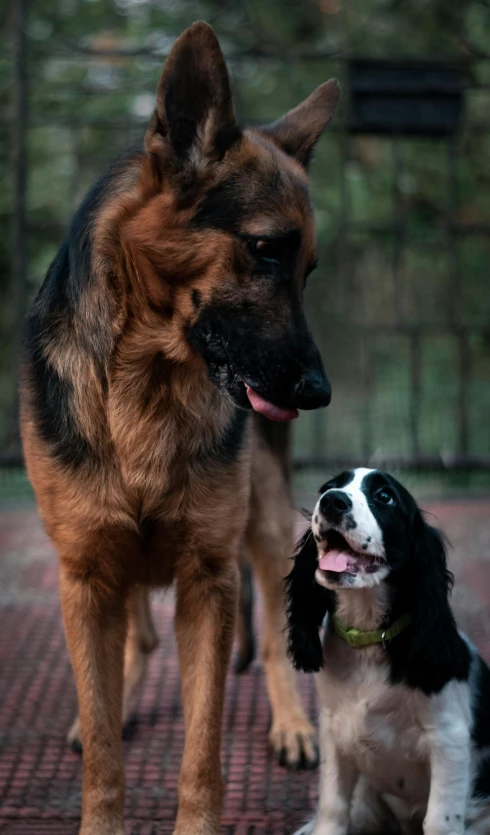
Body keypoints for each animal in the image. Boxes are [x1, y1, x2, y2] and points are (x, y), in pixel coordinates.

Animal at [20, 21, 340, 835]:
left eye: (308, 269)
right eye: (265, 248)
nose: (319, 393)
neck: (146, 384)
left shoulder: (209, 578)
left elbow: (203, 750)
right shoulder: (86, 574)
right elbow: (104, 750)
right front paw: (102, 754)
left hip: (263, 522)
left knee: (273, 628)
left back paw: (294, 724)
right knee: (136, 633)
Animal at [286, 470, 490, 835]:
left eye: (384, 497)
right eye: (328, 487)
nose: (332, 501)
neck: (369, 640)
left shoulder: (449, 739)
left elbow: (439, 820)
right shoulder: (334, 731)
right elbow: (332, 806)